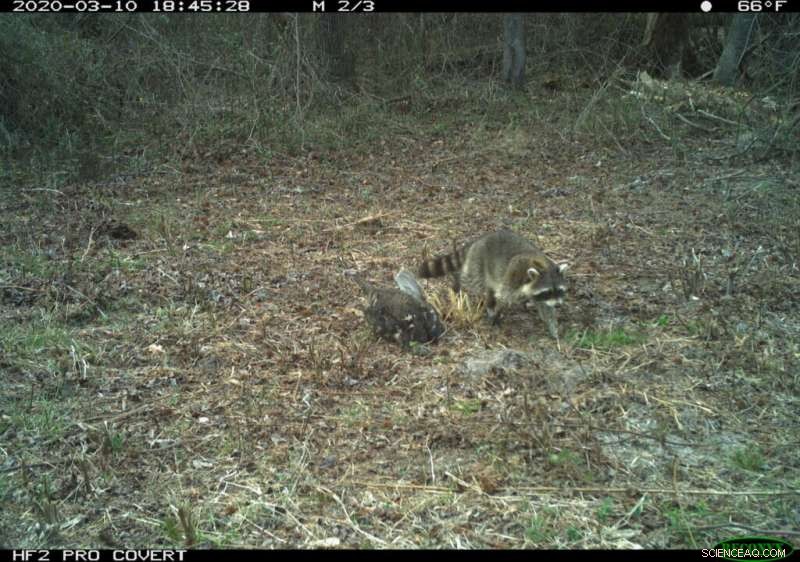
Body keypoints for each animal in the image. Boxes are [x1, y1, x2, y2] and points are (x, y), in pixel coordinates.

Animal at [418, 229, 568, 338]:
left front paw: (553, 328)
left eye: (559, 290)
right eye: (548, 291)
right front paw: (495, 313)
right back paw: (458, 281)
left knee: (490, 288)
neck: (542, 266)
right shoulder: (512, 279)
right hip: (478, 264)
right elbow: (502, 297)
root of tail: (478, 241)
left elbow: (545, 307)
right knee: (472, 280)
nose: (559, 305)